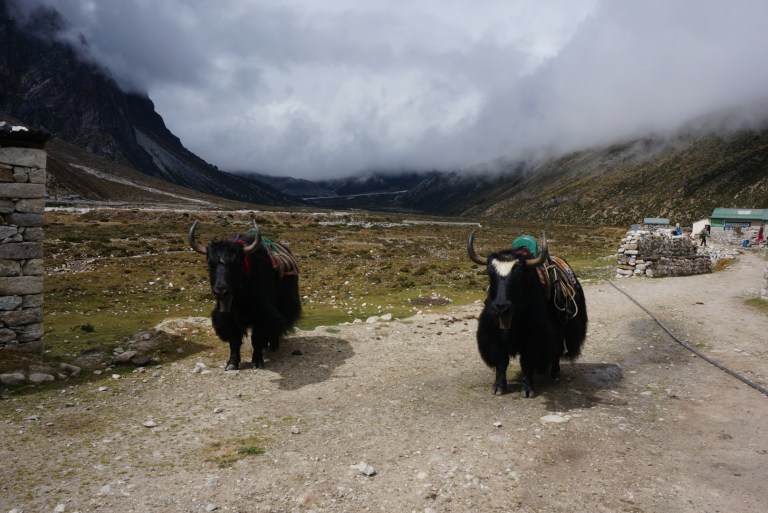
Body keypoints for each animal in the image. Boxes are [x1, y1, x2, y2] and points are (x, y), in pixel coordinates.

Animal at [188, 220, 301, 370]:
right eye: (210, 263)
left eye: (235, 263)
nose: (220, 291)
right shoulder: (228, 315)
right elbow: (234, 339)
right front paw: (232, 363)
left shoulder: (262, 312)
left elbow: (257, 337)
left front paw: (257, 361)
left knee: (278, 322)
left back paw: (273, 345)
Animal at [467, 230, 587, 397]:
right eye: (490, 272)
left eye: (519, 274)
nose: (500, 307)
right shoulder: (493, 334)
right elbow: (501, 360)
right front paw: (498, 387)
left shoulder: (534, 335)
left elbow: (527, 360)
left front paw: (528, 389)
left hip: (561, 325)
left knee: (558, 348)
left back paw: (555, 372)